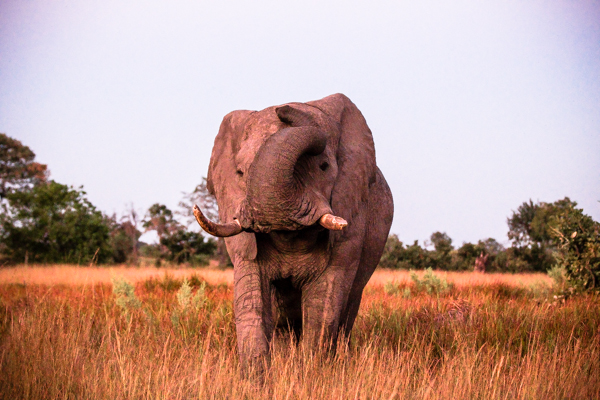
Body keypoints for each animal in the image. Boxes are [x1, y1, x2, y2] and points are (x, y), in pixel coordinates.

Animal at [192, 93, 396, 376]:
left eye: (324, 166)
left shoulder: (352, 208)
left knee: (347, 310)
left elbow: (324, 302)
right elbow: (251, 296)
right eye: (240, 173)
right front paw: (256, 380)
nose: (284, 107)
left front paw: (311, 374)